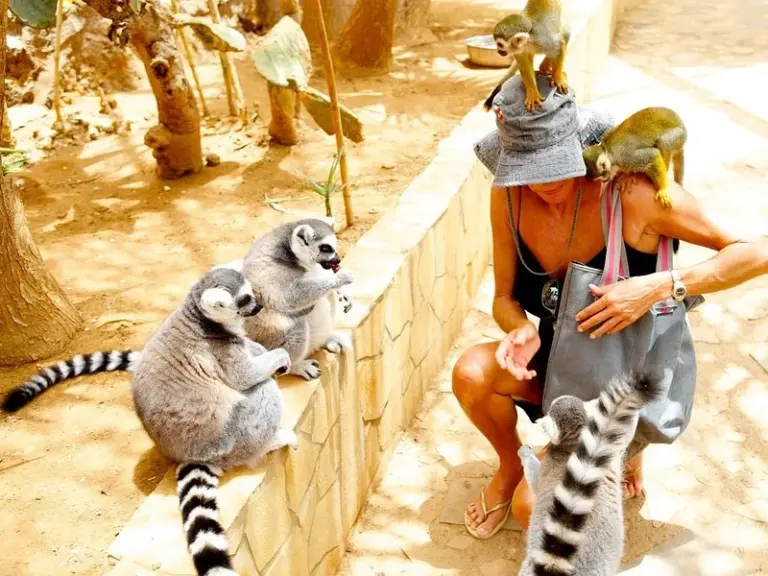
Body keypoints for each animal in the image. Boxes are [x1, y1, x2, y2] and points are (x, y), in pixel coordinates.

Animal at [2, 268, 298, 576]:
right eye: (245, 299)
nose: (259, 306)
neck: (202, 318)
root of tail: (190, 454)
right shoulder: (219, 351)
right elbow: (244, 376)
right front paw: (278, 357)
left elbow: (251, 348)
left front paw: (261, 348)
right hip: (231, 438)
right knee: (261, 393)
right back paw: (271, 440)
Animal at [241, 218, 355, 381]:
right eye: (325, 247)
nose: (337, 260)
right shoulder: (269, 268)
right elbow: (289, 296)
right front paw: (340, 278)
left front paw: (342, 292)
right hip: (267, 339)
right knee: (296, 325)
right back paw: (296, 366)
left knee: (325, 296)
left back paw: (326, 339)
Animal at [517, 366, 666, 576]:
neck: (576, 442)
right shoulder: (613, 445)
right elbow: (627, 423)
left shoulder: (550, 467)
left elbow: (535, 480)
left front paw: (525, 453)